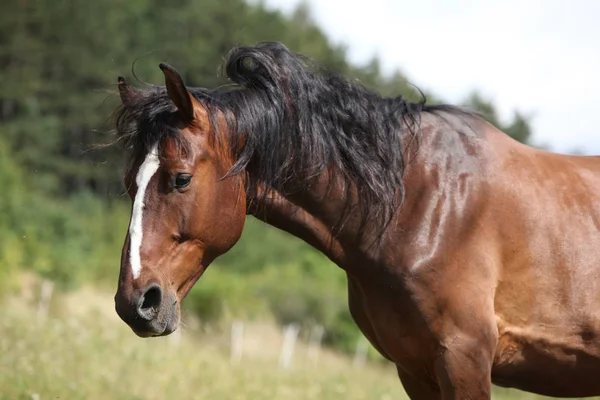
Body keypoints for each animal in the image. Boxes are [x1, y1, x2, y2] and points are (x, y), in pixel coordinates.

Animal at [113, 42, 600, 398]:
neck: (423, 205)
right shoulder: (416, 368)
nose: (135, 303)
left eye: (180, 179)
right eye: (129, 183)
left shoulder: (465, 359)